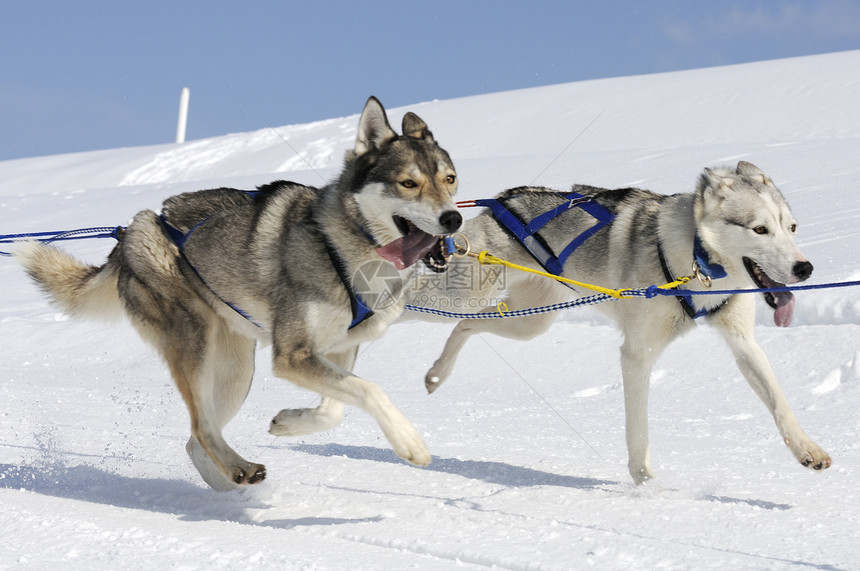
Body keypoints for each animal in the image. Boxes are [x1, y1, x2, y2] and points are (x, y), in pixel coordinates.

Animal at [16, 96, 464, 490]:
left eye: (450, 179)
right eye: (408, 183)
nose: (453, 218)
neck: (347, 248)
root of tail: (136, 228)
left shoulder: (338, 351)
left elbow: (335, 409)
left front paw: (289, 422)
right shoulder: (293, 355)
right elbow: (371, 390)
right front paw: (410, 443)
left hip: (236, 370)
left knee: (196, 438)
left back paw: (230, 485)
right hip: (194, 342)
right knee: (200, 425)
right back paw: (237, 468)